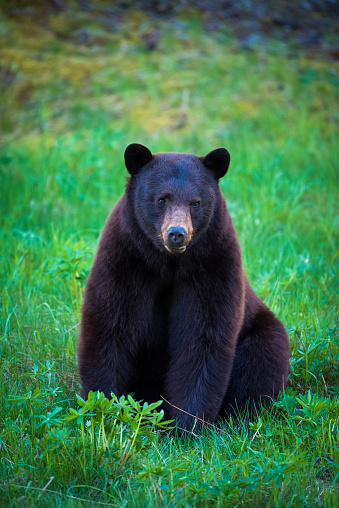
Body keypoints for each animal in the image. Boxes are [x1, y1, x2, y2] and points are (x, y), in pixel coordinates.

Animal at [78, 143, 290, 428]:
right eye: (162, 199)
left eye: (195, 203)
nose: (177, 233)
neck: (169, 264)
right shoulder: (125, 259)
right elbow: (109, 325)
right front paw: (104, 409)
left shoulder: (212, 264)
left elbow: (203, 337)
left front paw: (185, 425)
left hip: (263, 331)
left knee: (261, 363)